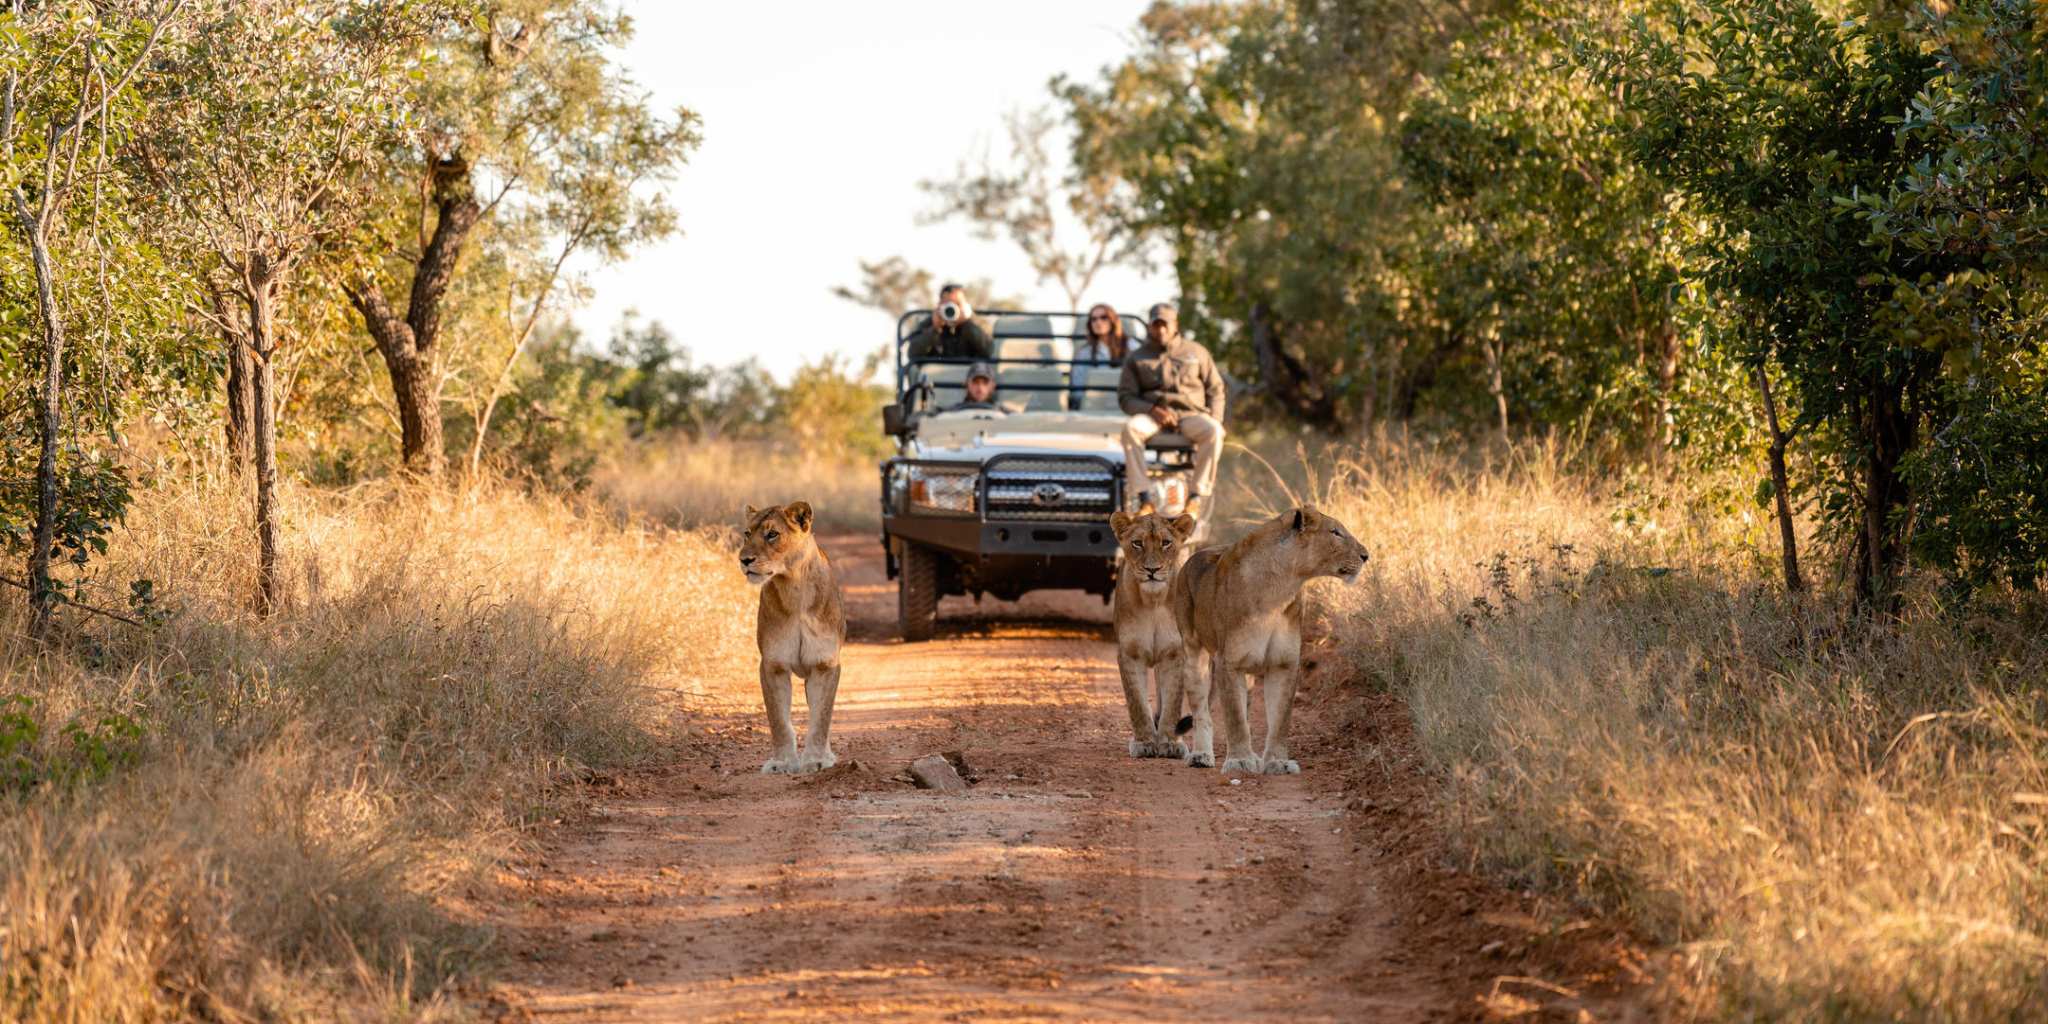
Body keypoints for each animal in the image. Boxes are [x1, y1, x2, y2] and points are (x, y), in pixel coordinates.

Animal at [739, 501, 846, 774]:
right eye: (747, 533)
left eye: (772, 534)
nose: (744, 559)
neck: (794, 587)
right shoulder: (772, 665)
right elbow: (778, 720)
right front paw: (782, 762)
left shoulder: (825, 664)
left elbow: (821, 718)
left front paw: (817, 760)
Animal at [1109, 510, 1199, 759]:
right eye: (1137, 543)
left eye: (1166, 543)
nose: (1152, 570)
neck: (1153, 601)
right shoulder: (1129, 654)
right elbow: (1137, 703)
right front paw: (1144, 742)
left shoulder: (1174, 654)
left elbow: (1172, 703)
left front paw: (1169, 742)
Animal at [1169, 506, 1368, 773]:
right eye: (1335, 532)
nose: (1366, 555)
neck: (1280, 590)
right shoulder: (1228, 662)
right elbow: (1234, 718)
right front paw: (1239, 760)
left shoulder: (1283, 664)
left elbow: (1279, 719)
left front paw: (1277, 762)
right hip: (1194, 654)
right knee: (1202, 711)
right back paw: (1201, 755)